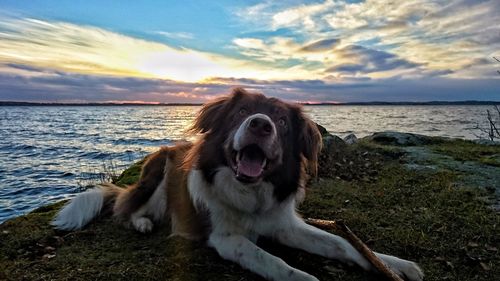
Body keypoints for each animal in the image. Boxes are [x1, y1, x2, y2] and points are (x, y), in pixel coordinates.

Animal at [53, 88, 422, 280]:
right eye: (242, 111)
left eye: (282, 121)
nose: (260, 124)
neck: (250, 192)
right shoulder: (226, 238)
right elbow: (272, 261)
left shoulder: (284, 223)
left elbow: (342, 243)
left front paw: (394, 264)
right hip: (157, 176)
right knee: (127, 208)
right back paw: (142, 222)